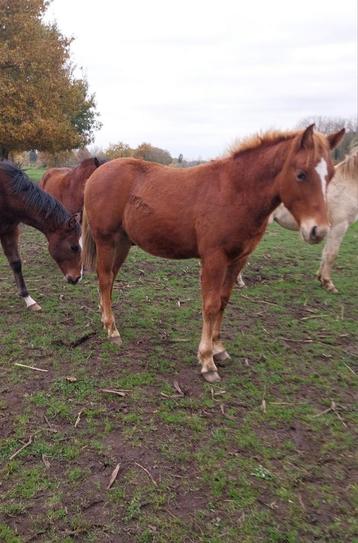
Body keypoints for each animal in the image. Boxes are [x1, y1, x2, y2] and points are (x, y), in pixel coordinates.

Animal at [0, 162, 82, 312]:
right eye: (74, 247)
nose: (76, 278)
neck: (5, 194)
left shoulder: (9, 230)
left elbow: (16, 263)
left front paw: (29, 300)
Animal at [81, 126, 344, 382]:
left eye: (331, 175)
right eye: (301, 174)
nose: (318, 230)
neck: (236, 191)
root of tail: (97, 173)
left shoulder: (238, 260)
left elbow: (223, 302)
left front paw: (219, 350)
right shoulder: (214, 260)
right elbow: (210, 305)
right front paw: (207, 362)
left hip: (123, 243)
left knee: (110, 279)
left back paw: (105, 319)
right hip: (106, 240)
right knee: (105, 278)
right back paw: (112, 329)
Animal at [238, 148, 358, 294]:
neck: (348, 181)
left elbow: (325, 254)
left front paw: (321, 279)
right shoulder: (340, 226)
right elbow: (332, 254)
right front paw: (329, 284)